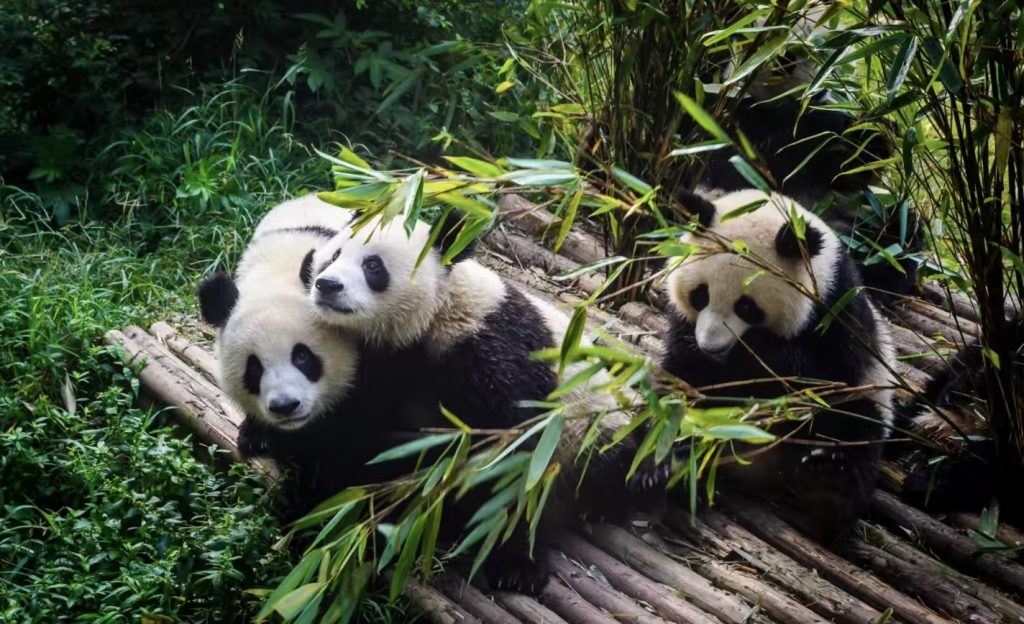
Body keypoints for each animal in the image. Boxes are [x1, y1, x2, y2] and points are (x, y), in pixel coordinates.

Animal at [302, 211, 661, 593]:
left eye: (373, 266)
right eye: (334, 255)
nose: (327, 285)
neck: (437, 314)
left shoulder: (496, 350)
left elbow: (517, 457)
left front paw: (516, 567)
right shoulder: (384, 367)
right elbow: (362, 436)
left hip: (599, 423)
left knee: (619, 459)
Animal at [662, 188, 897, 540]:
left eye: (747, 307)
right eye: (700, 295)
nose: (711, 345)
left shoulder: (839, 316)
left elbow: (817, 380)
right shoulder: (684, 332)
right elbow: (683, 374)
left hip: (868, 403)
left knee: (855, 429)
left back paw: (826, 491)